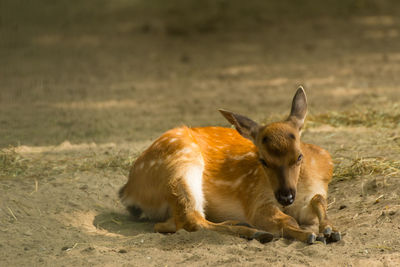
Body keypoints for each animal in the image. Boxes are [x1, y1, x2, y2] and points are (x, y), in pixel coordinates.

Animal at [119, 87, 340, 245]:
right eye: (263, 160)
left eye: (299, 156)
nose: (285, 196)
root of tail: (128, 190)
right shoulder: (255, 200)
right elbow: (286, 220)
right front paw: (310, 235)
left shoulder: (312, 193)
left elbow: (319, 200)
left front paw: (330, 231)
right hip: (180, 167)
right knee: (189, 220)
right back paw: (255, 232)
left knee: (168, 223)